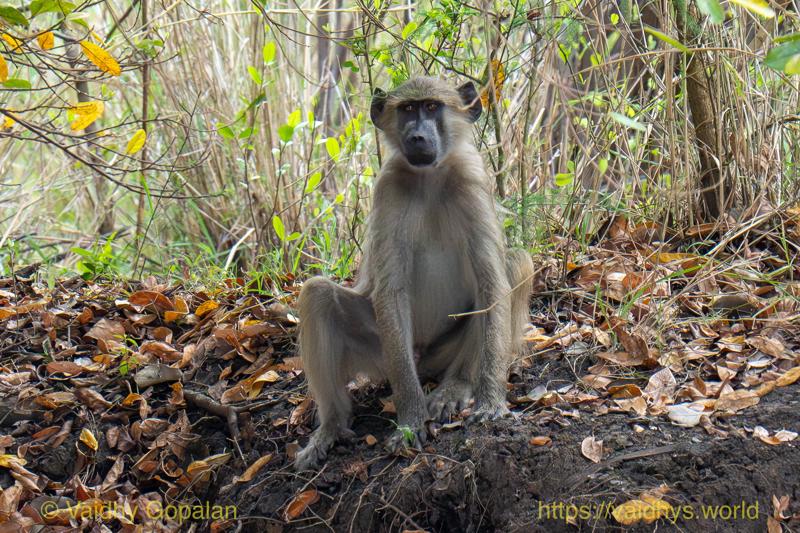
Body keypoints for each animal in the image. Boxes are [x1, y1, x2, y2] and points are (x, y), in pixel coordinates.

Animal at [294, 76, 534, 471]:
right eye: (408, 109)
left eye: (432, 107)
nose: (418, 136)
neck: (430, 177)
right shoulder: (389, 189)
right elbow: (390, 292)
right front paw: (410, 420)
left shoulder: (471, 179)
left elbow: (491, 283)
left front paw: (491, 401)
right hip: (382, 354)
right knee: (317, 294)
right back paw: (331, 427)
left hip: (442, 352)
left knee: (516, 264)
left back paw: (456, 385)